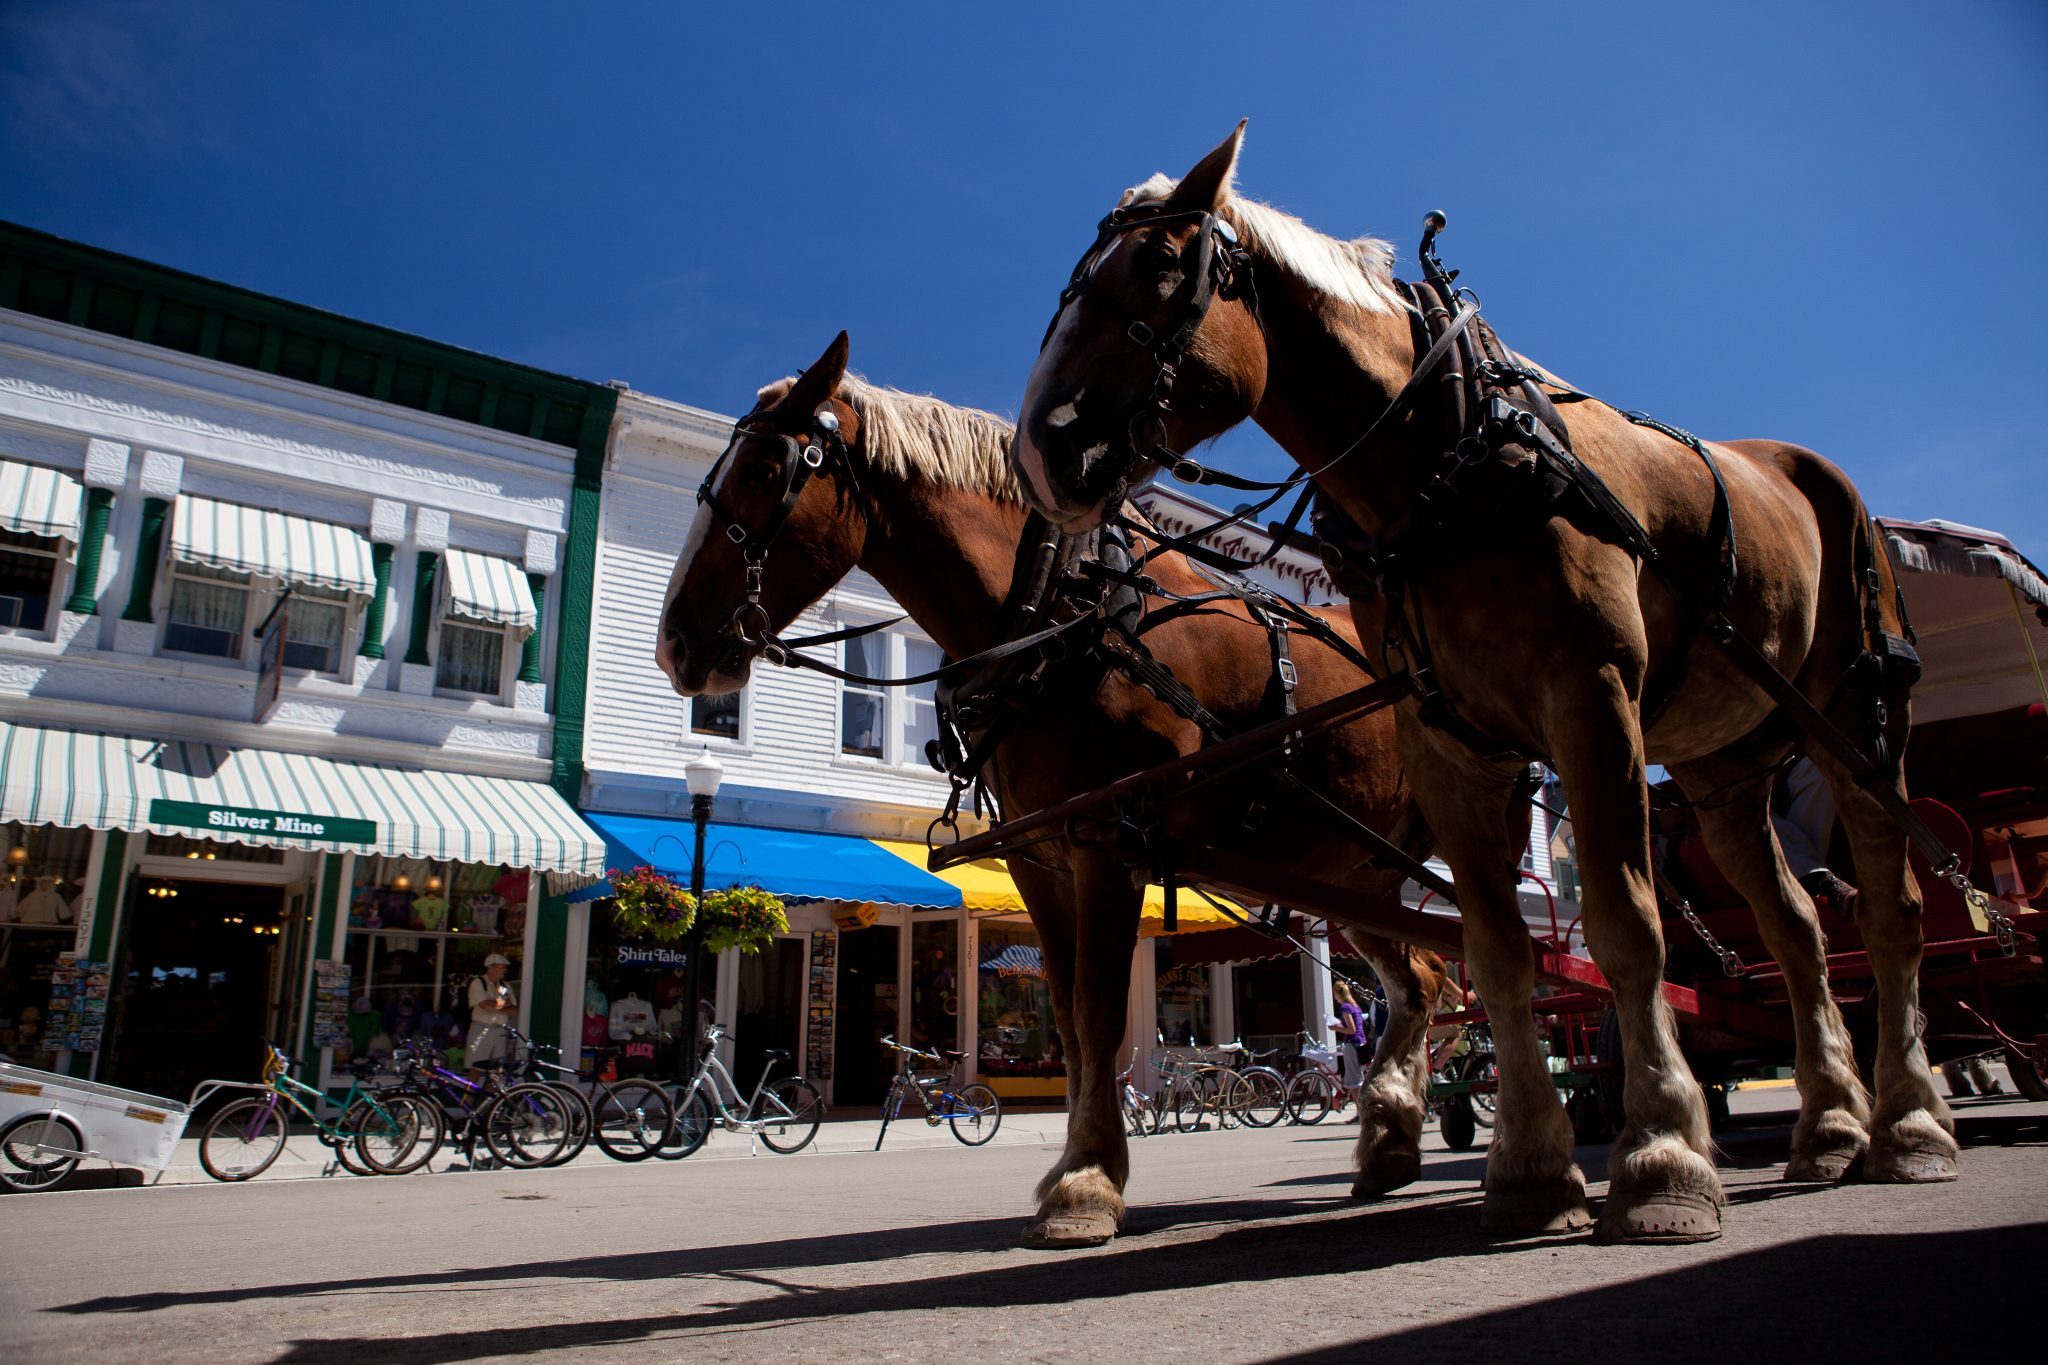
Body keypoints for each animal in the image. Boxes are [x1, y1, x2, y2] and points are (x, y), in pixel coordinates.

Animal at [655, 333, 1458, 1252]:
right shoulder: (1039, 857)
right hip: (1356, 870)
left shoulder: (1107, 839)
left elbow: (1102, 1012)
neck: (1057, 614)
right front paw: (1074, 1166)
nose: (674, 643)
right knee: (1425, 976)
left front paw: (1087, 1185)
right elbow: (1071, 1022)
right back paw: (1390, 1140)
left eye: (765, 468)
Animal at [1015, 127, 1957, 1252]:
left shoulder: (1590, 694)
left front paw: (1660, 1160)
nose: (1036, 449)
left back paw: (1909, 1125)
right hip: (1724, 770)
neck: (1446, 466)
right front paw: (1532, 1175)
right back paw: (1828, 1128)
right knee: (1798, 930)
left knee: (1894, 911)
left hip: (1858, 723)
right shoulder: (1448, 739)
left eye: (1159, 267)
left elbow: (1623, 925)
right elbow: (1500, 950)